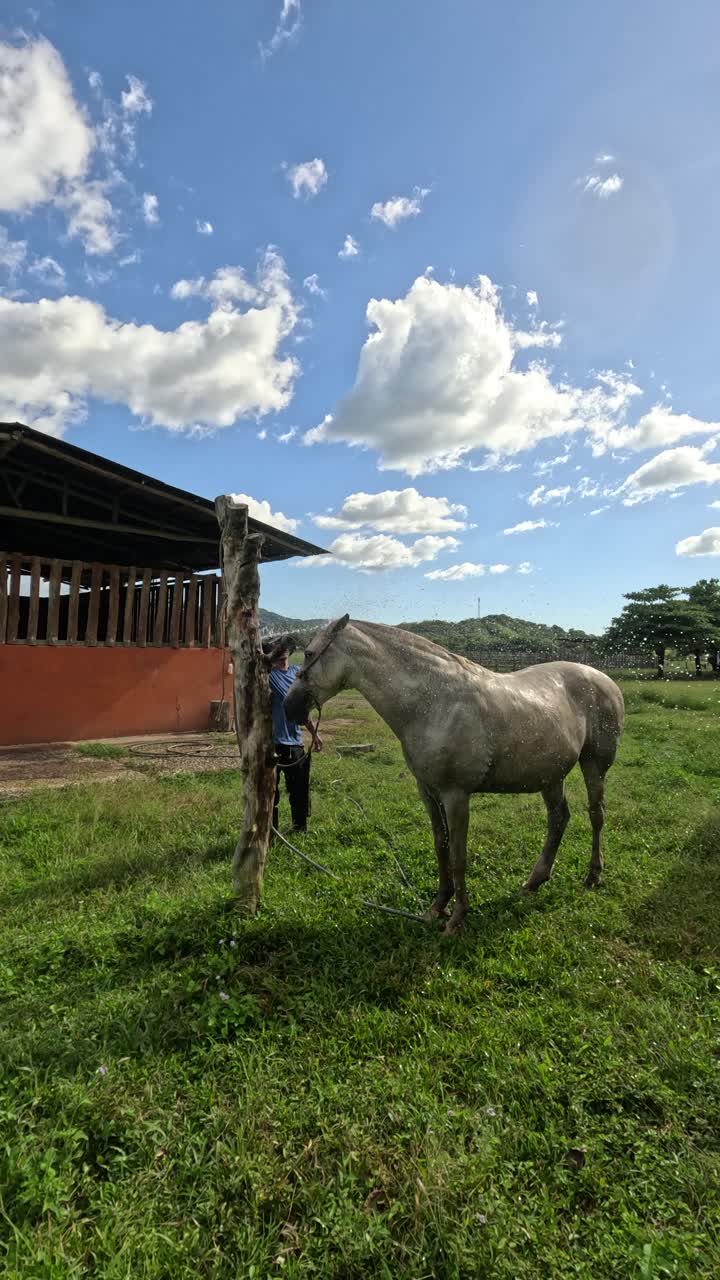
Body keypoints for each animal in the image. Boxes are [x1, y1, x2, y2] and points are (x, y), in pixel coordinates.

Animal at [284, 615, 625, 933]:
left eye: (310, 652)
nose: (289, 707)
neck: (435, 703)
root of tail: (606, 681)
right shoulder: (428, 792)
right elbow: (441, 848)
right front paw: (438, 907)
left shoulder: (456, 795)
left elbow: (459, 856)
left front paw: (457, 918)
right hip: (550, 776)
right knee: (559, 819)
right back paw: (533, 882)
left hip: (594, 765)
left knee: (596, 814)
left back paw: (592, 876)